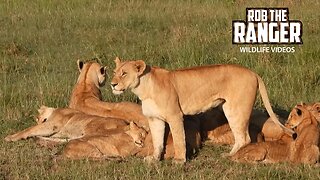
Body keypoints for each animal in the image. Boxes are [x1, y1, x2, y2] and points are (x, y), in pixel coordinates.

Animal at [110, 57, 292, 162]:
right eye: (114, 72)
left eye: (124, 73)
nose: (112, 84)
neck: (143, 88)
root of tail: (253, 73)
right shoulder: (155, 119)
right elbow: (157, 141)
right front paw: (154, 159)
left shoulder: (175, 116)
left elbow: (179, 140)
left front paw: (179, 161)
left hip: (235, 109)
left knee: (244, 137)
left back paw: (230, 156)